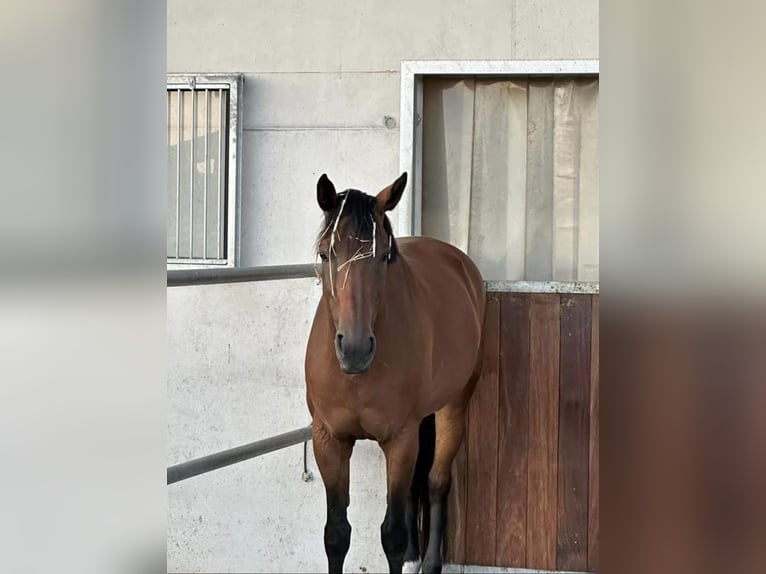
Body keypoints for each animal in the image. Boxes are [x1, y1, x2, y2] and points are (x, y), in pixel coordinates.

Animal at [306, 173, 486, 572]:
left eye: (385, 256)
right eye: (326, 254)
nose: (355, 349)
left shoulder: (400, 439)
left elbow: (392, 534)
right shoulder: (329, 440)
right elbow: (335, 533)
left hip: (453, 406)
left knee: (435, 483)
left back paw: (428, 561)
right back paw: (413, 559)